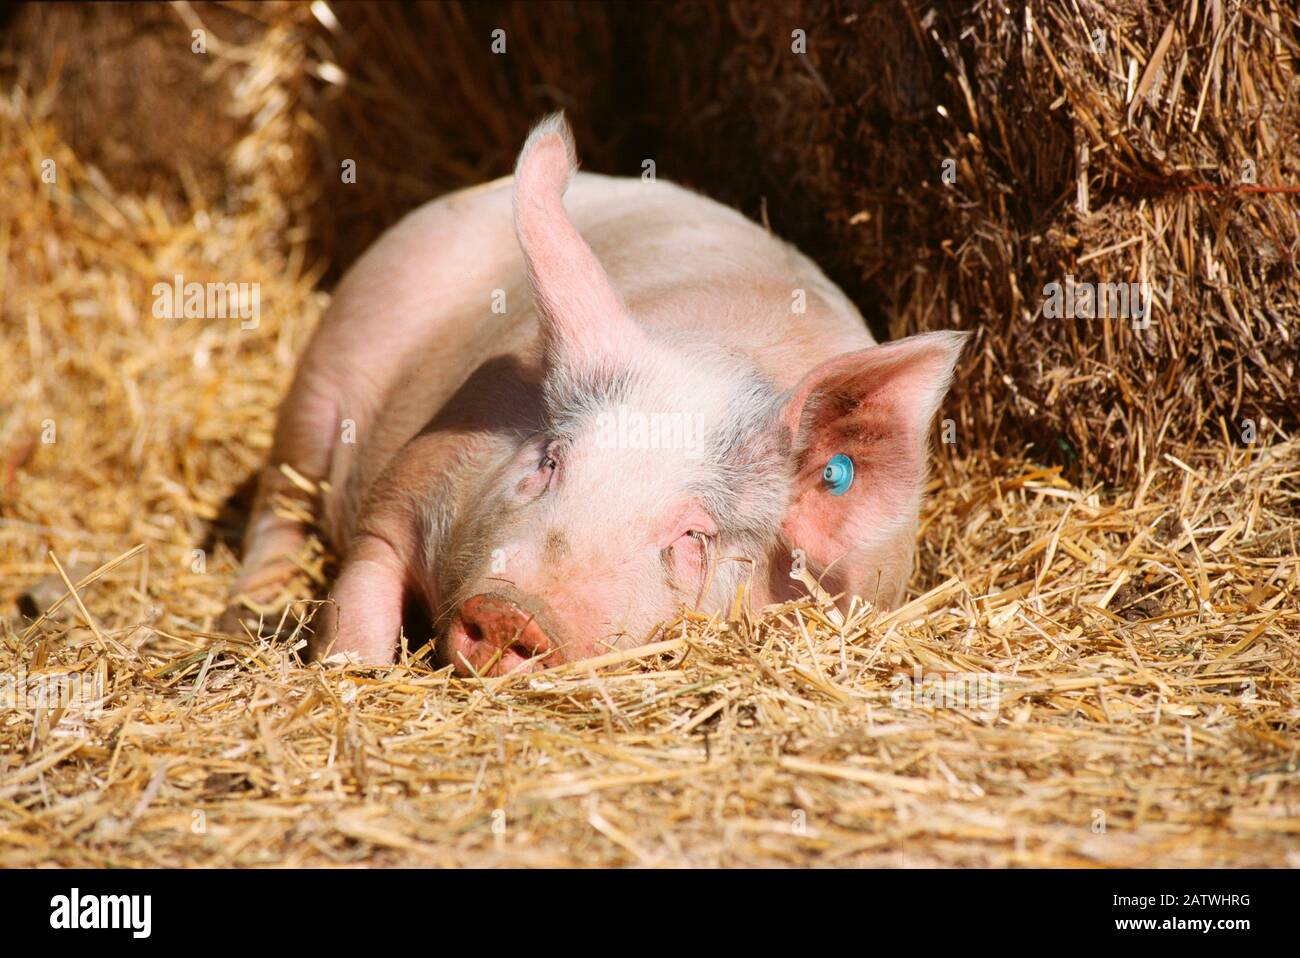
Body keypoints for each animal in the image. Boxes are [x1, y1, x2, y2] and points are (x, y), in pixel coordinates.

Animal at [226, 113, 967, 670]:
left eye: (694, 534)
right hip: (326, 365)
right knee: (279, 501)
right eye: (549, 461)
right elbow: (362, 593)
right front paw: (347, 669)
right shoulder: (405, 489)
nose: (512, 611)